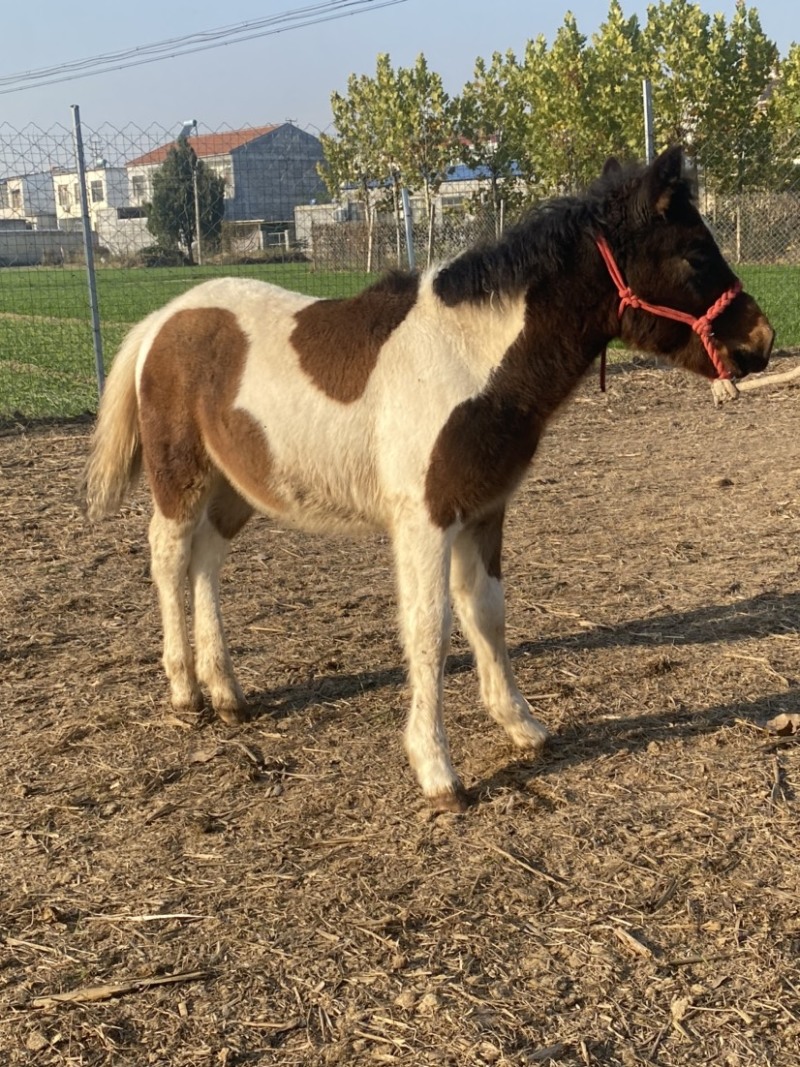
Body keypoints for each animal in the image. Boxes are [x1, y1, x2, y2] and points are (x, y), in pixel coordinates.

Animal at [83, 145, 774, 812]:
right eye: (693, 254)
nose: (762, 340)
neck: (470, 358)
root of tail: (160, 320)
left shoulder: (484, 509)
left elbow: (486, 611)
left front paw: (521, 726)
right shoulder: (426, 519)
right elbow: (429, 627)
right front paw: (437, 769)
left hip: (236, 485)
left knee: (208, 558)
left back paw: (226, 690)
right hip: (181, 476)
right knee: (169, 554)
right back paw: (185, 690)